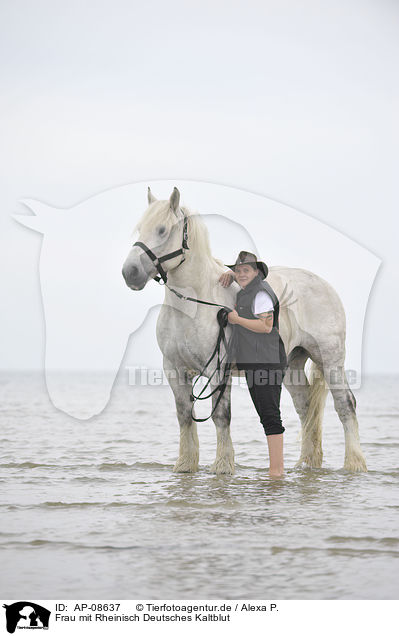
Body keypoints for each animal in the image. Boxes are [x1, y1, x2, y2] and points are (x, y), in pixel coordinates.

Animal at [122, 186, 368, 474]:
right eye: (141, 229)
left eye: (162, 229)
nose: (130, 272)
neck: (194, 304)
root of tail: (325, 286)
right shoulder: (173, 369)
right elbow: (184, 415)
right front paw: (185, 464)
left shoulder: (218, 370)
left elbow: (220, 415)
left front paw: (223, 465)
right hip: (293, 366)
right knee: (306, 408)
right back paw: (307, 463)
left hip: (330, 360)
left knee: (345, 405)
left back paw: (354, 463)